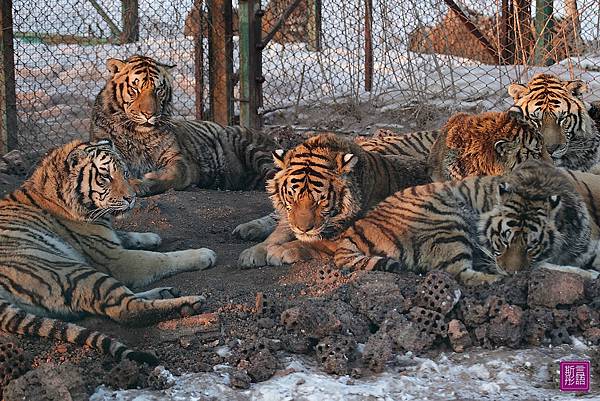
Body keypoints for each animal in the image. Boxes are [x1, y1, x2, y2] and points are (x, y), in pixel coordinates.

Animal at [0, 140, 216, 362]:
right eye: (105, 177)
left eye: (125, 173)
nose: (132, 198)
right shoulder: (114, 258)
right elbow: (160, 259)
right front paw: (203, 254)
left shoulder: (109, 239)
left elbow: (124, 235)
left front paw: (151, 237)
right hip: (73, 270)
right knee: (127, 310)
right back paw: (187, 304)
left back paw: (166, 292)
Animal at [90, 54, 278, 198]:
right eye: (134, 88)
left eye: (158, 90)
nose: (149, 114)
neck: (139, 135)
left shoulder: (180, 161)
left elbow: (172, 175)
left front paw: (143, 182)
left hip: (249, 147)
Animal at [238, 133, 432, 268]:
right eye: (292, 197)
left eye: (320, 201)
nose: (303, 229)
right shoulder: (290, 219)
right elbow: (278, 233)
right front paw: (253, 252)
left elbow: (314, 242)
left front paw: (281, 250)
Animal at [336, 159, 600, 284]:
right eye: (503, 240)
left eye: (531, 245)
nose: (511, 273)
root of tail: (354, 228)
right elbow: (543, 266)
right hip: (447, 219)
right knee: (459, 274)